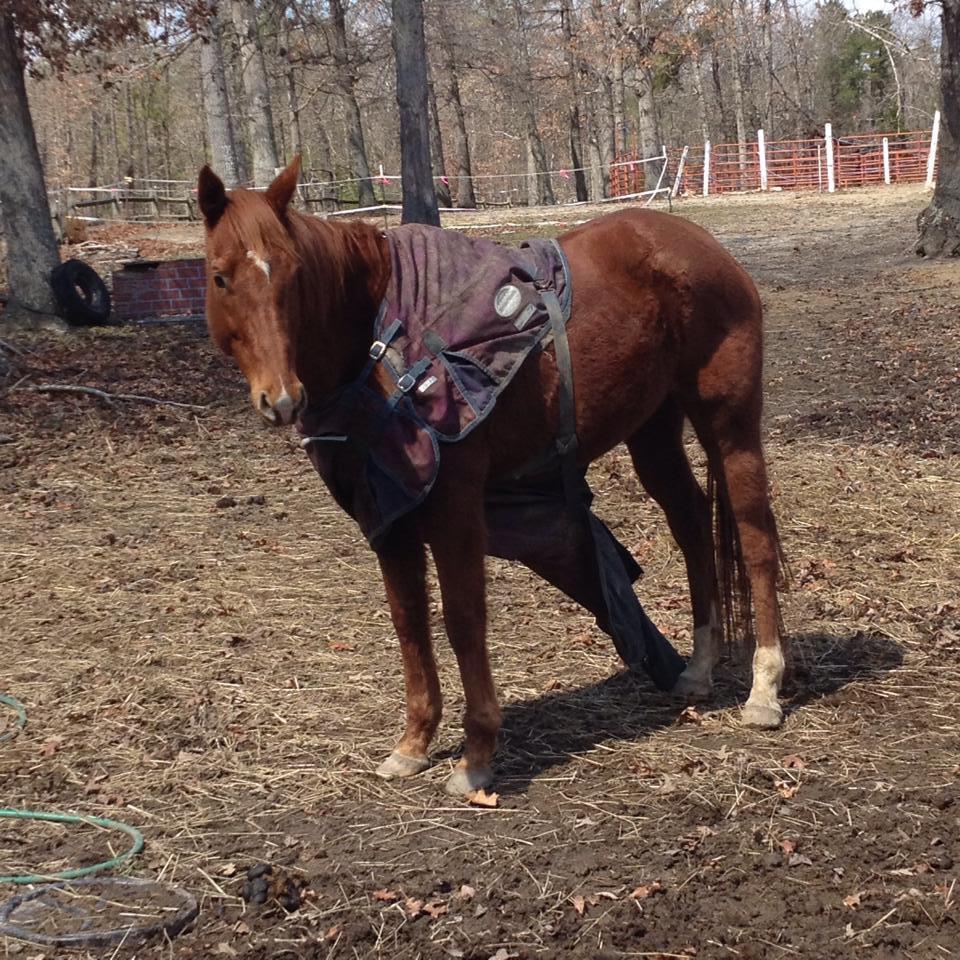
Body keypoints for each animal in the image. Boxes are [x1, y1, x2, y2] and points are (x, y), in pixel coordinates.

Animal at [197, 157, 787, 797]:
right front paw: (413, 744)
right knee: (692, 527)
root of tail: (706, 249)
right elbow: (409, 621)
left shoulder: (456, 511)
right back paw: (698, 670)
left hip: (729, 425)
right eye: (220, 277)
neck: (383, 340)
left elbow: (462, 620)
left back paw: (764, 690)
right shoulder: (388, 519)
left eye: (295, 274)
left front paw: (476, 755)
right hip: (653, 432)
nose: (281, 399)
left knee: (755, 538)